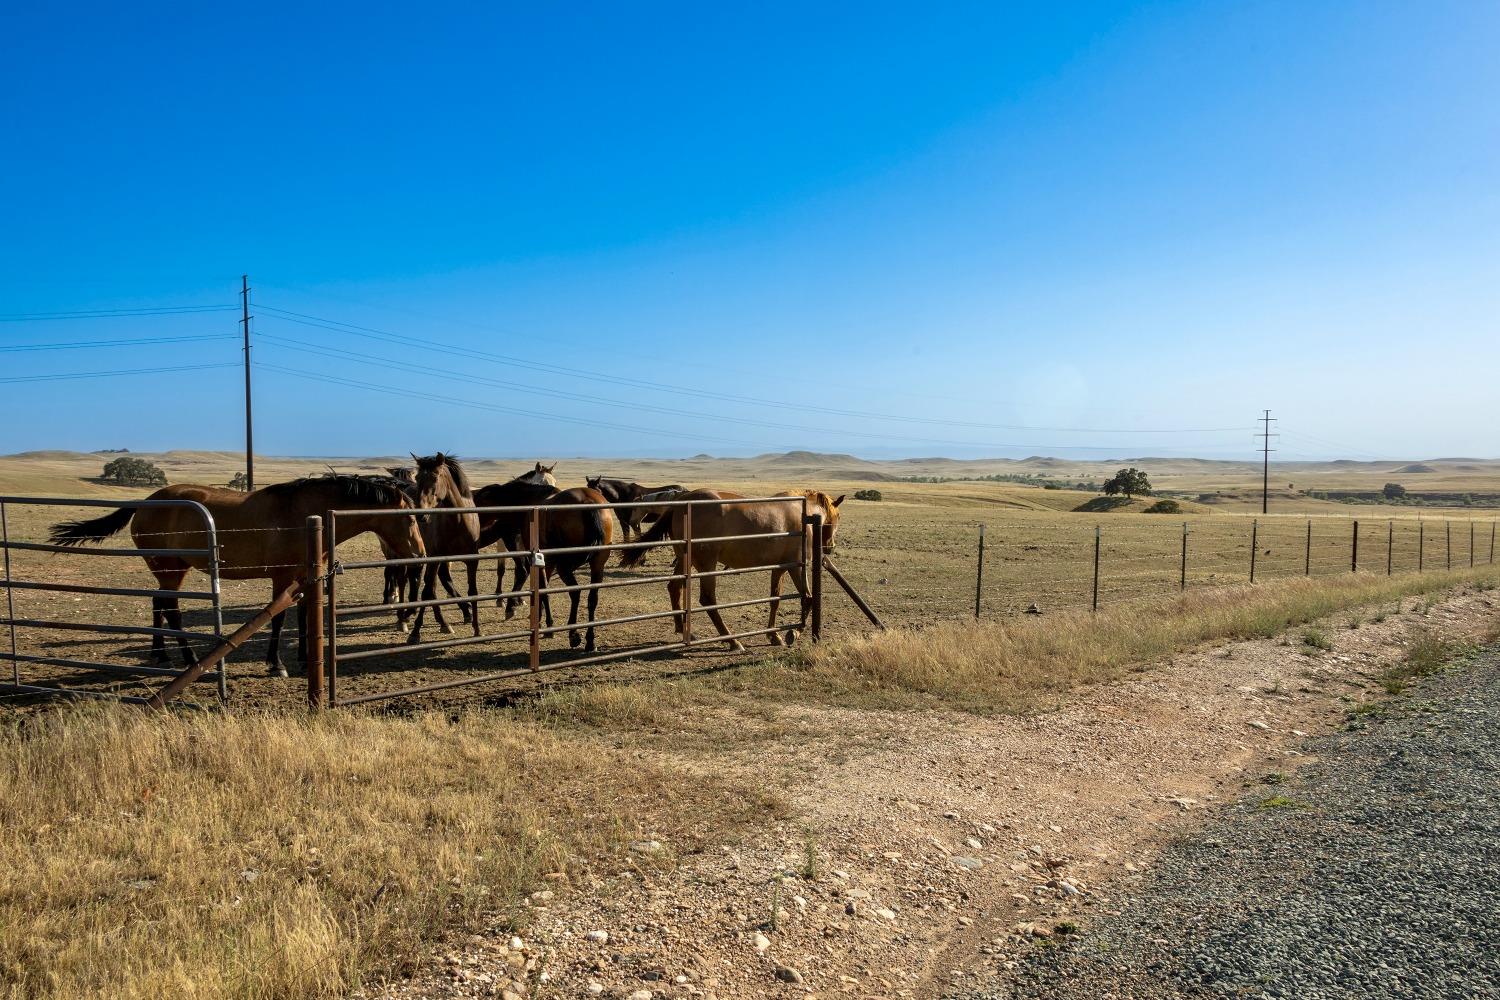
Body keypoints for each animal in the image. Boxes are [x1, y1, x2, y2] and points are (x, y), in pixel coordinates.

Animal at [48, 473, 423, 677]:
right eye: (409, 517)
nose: (420, 553)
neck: (304, 515)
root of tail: (146, 502)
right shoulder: (282, 578)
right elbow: (278, 619)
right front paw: (276, 664)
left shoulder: (305, 578)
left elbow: (304, 616)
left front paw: (304, 659)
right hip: (171, 569)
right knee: (172, 609)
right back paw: (191, 659)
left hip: (169, 570)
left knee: (158, 602)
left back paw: (162, 655)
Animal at [615, 488, 840, 653]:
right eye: (836, 518)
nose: (829, 547)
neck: (805, 516)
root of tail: (681, 503)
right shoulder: (795, 566)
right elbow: (808, 598)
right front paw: (794, 632)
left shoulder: (780, 568)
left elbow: (775, 599)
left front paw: (774, 635)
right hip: (706, 563)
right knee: (707, 599)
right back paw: (732, 641)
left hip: (685, 560)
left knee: (674, 587)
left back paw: (684, 630)